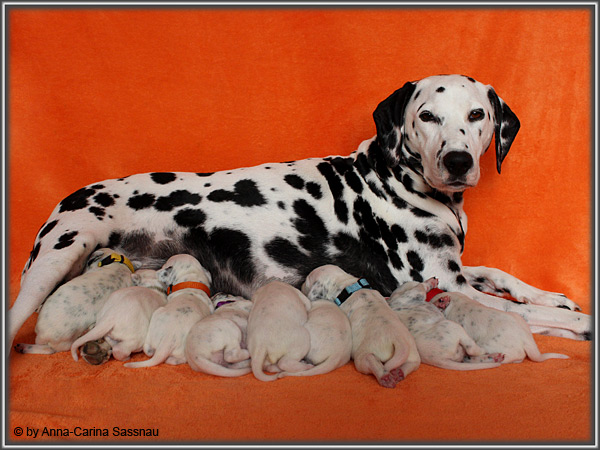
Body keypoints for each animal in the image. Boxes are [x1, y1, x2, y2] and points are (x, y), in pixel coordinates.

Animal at [10, 74, 591, 351]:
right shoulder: (446, 285)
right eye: (427, 116)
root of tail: (69, 197)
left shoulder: (454, 270)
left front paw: (552, 297)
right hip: (54, 259)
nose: (457, 161)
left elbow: (501, 275)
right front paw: (576, 321)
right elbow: (519, 309)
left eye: (477, 115)